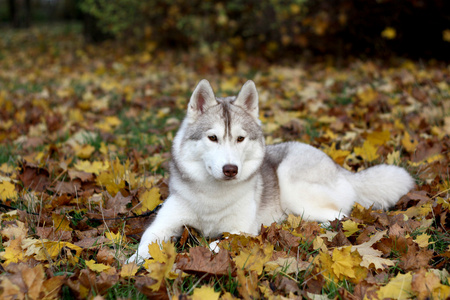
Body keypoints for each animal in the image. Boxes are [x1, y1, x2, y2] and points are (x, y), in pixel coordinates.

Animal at [127, 79, 414, 262]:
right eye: (212, 138)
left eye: (240, 139)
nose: (230, 169)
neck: (212, 196)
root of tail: (340, 168)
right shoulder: (163, 223)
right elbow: (146, 242)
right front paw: (133, 263)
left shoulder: (242, 232)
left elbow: (214, 244)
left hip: (292, 184)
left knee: (340, 216)